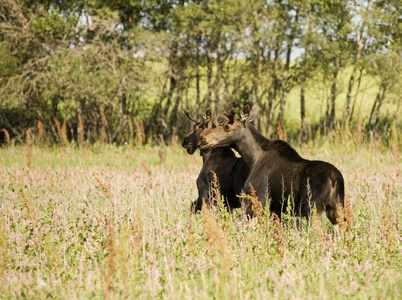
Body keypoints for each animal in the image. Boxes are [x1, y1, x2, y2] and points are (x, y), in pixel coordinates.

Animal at [196, 104, 344, 224]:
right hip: (336, 208)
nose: (202, 138)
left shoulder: (258, 200)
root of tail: (334, 180)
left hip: (312, 208)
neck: (252, 158)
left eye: (226, 126)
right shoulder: (275, 208)